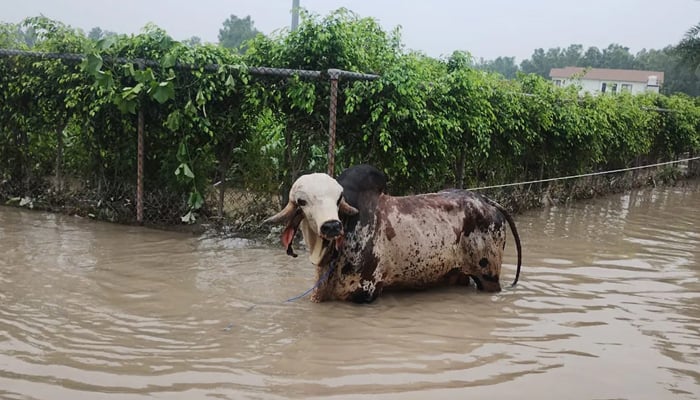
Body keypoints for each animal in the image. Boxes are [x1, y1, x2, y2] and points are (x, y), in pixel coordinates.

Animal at [266, 164, 524, 302]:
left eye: (338, 199)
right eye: (302, 201)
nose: (332, 226)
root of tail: (487, 201)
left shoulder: (365, 293)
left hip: (488, 276)